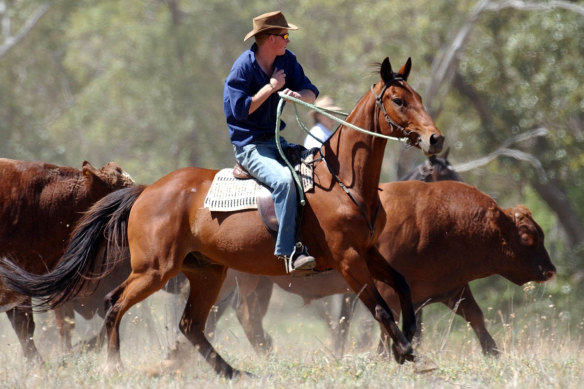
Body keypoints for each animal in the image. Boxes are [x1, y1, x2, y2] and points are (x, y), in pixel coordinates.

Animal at [203, 182, 556, 358]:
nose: (550, 270)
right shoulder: (388, 291)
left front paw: (494, 352)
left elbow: (476, 319)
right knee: (245, 316)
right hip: (248, 282)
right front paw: (389, 356)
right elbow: (387, 327)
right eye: (527, 237)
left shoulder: (452, 289)